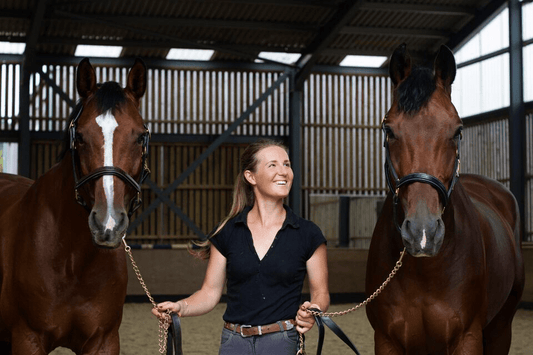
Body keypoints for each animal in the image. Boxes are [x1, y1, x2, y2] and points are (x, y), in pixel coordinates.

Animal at [0, 57, 149, 354]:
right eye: (79, 136)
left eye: (140, 137)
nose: (107, 224)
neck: (72, 262)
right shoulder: (27, 338)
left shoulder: (104, 341)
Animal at [366, 44, 524, 355]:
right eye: (389, 131)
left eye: (457, 130)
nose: (423, 234)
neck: (425, 272)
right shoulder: (386, 340)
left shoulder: (468, 338)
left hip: (501, 328)